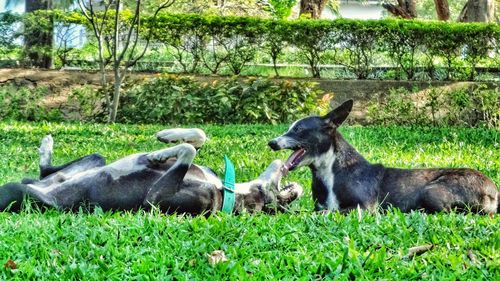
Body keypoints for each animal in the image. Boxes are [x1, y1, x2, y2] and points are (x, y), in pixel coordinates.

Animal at [0, 128, 302, 213]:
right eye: (284, 199)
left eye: (276, 205)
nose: (298, 190)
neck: (225, 189)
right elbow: (197, 138)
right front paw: (167, 139)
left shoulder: (155, 200)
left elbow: (188, 150)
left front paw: (159, 153)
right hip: (95, 159)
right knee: (45, 171)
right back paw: (45, 146)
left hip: (23, 194)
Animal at [268, 99, 498, 212]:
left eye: (298, 130)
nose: (271, 143)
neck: (329, 171)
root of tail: (494, 190)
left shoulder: (363, 207)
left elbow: (331, 212)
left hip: (430, 192)